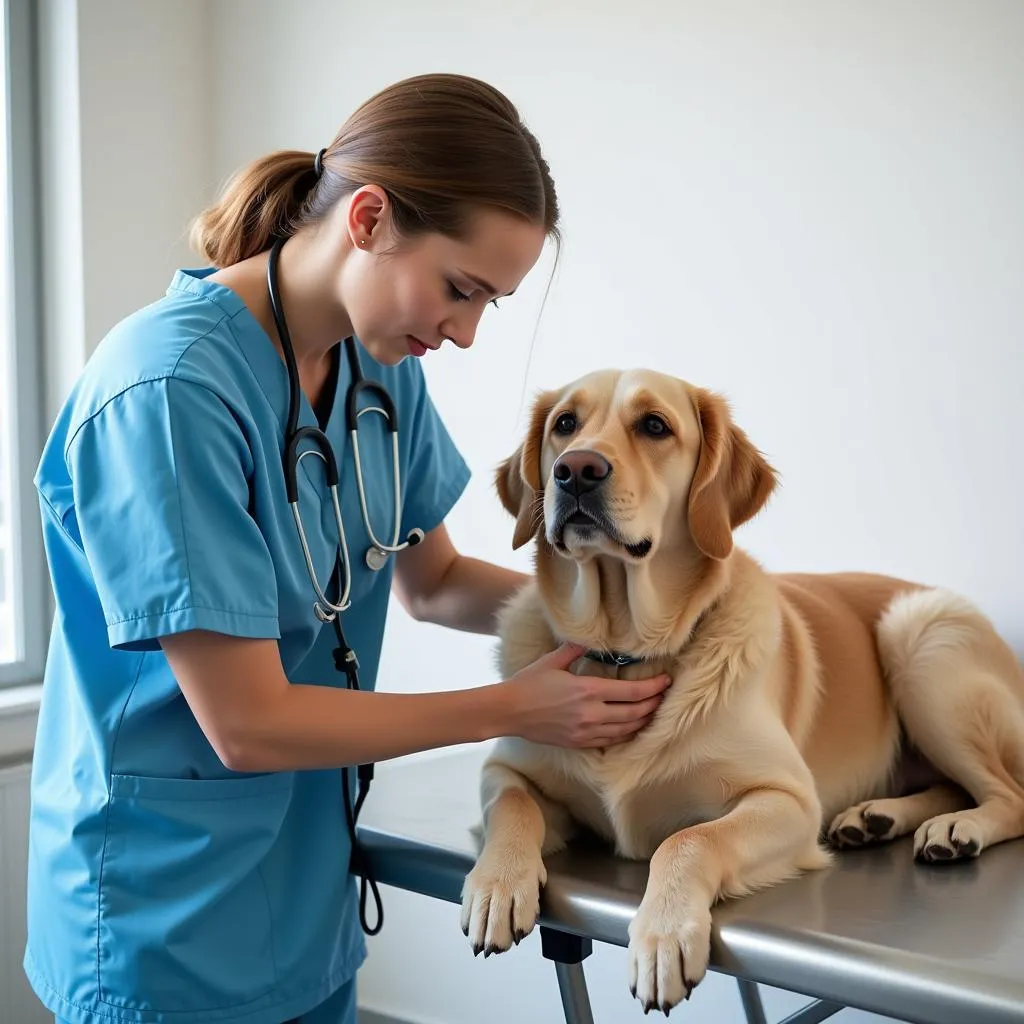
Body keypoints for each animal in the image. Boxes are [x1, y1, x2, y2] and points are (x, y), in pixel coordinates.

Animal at [458, 368, 1024, 1015]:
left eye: (655, 426)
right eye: (565, 424)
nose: (575, 469)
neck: (624, 654)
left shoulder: (788, 800)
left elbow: (689, 839)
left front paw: (662, 934)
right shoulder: (505, 767)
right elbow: (514, 805)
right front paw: (497, 884)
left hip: (919, 640)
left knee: (1010, 795)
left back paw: (959, 829)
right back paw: (877, 818)